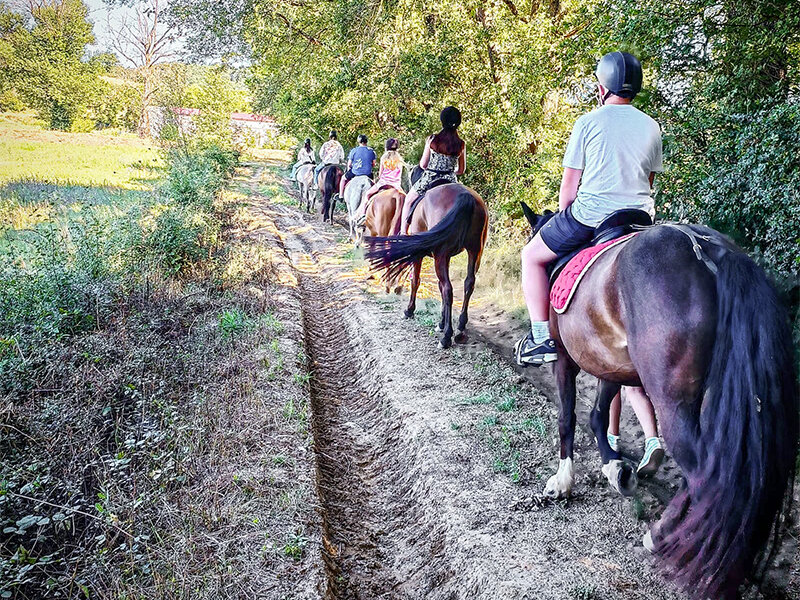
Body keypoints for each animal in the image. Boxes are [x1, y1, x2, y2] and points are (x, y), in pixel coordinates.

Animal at [364, 185, 488, 350]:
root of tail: (464, 195)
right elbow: (438, 287)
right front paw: (441, 322)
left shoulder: (419, 254)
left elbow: (415, 281)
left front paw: (409, 310)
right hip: (474, 251)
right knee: (468, 283)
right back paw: (461, 327)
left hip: (441, 253)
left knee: (448, 289)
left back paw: (446, 337)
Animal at [520, 205, 796, 600]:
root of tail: (711, 250)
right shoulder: (610, 362)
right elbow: (598, 416)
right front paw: (614, 468)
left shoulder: (564, 360)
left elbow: (567, 418)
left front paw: (562, 481)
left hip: (672, 400)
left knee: (703, 471)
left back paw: (663, 537)